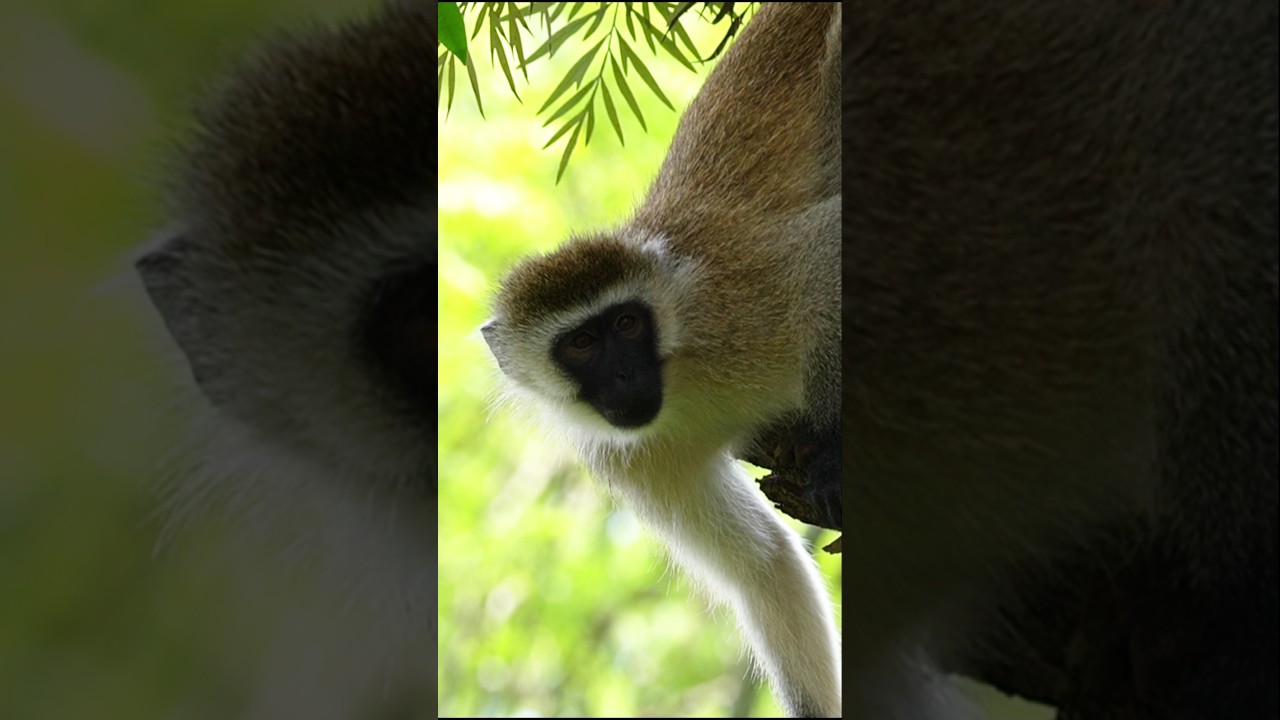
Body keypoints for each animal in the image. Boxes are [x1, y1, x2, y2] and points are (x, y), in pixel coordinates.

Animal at [480, 4, 842, 717]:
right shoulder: (631, 460)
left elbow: (826, 253)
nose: (624, 376)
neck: (684, 375)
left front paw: (834, 451)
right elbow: (766, 569)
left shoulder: (738, 304)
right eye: (582, 344)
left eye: (626, 324)